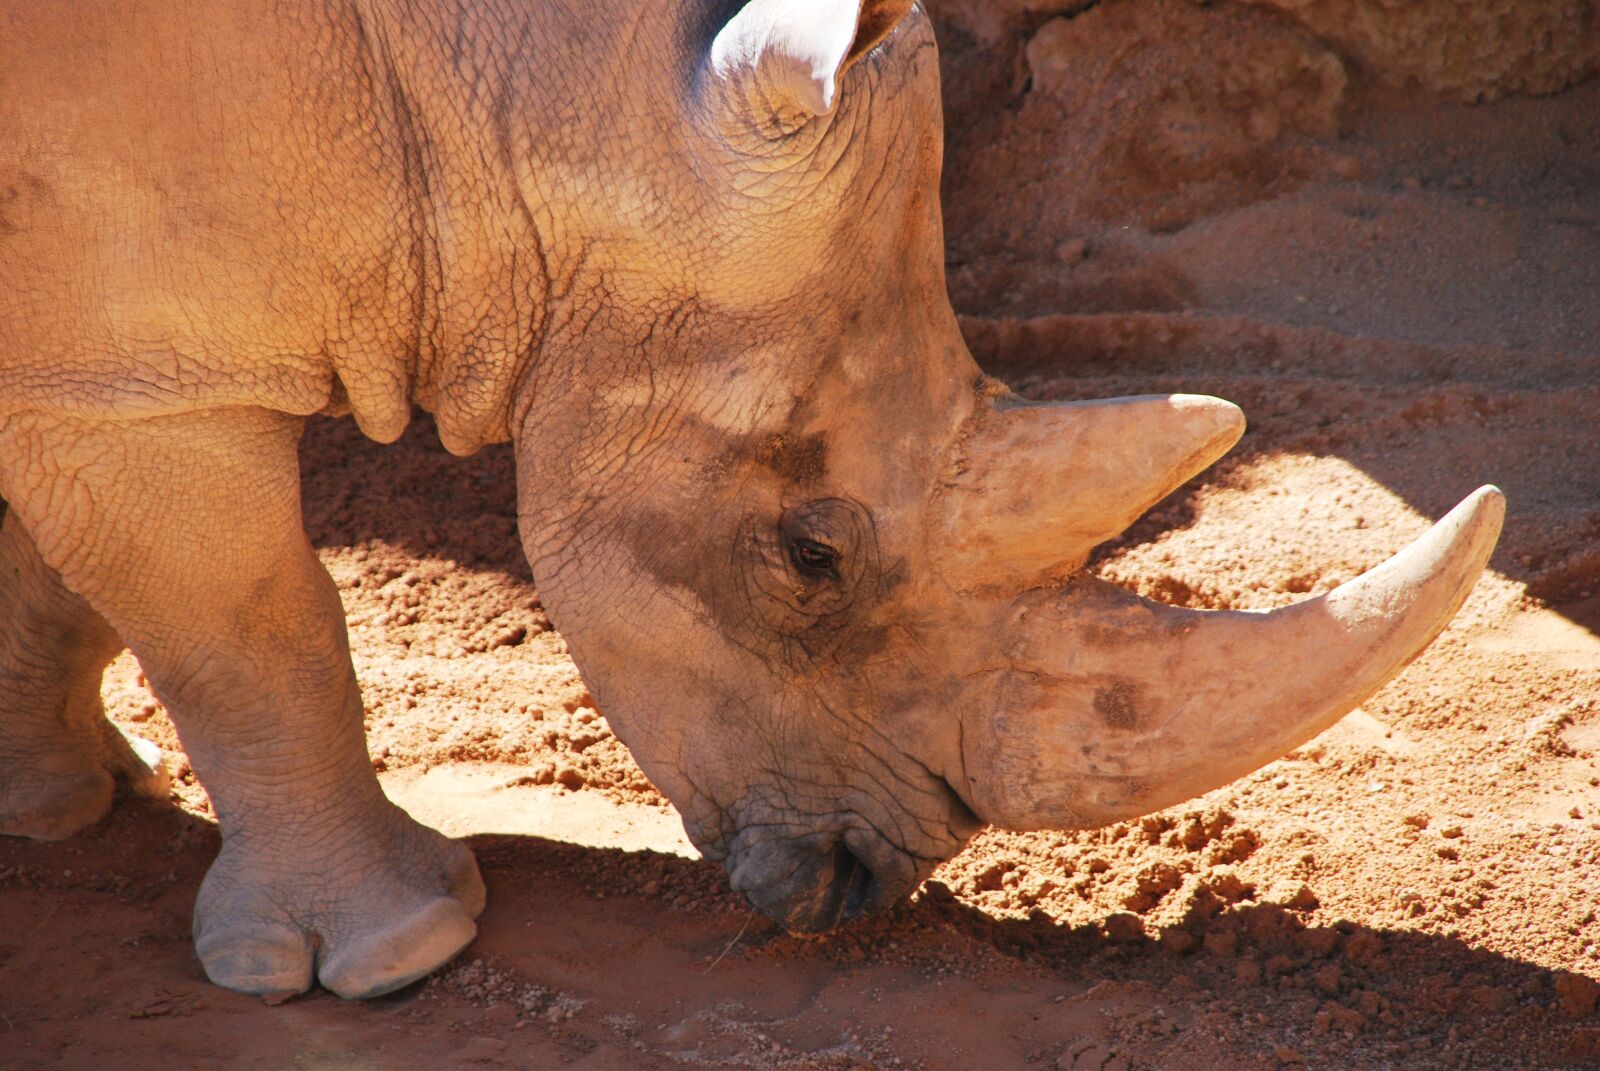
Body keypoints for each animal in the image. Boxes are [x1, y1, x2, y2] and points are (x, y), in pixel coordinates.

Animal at [0, 0, 1502, 1000]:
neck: (505, 88)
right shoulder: (141, 370)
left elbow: (59, 569)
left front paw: (54, 806)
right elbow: (256, 630)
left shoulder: (82, 335)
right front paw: (389, 953)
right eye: (810, 553)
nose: (860, 887)